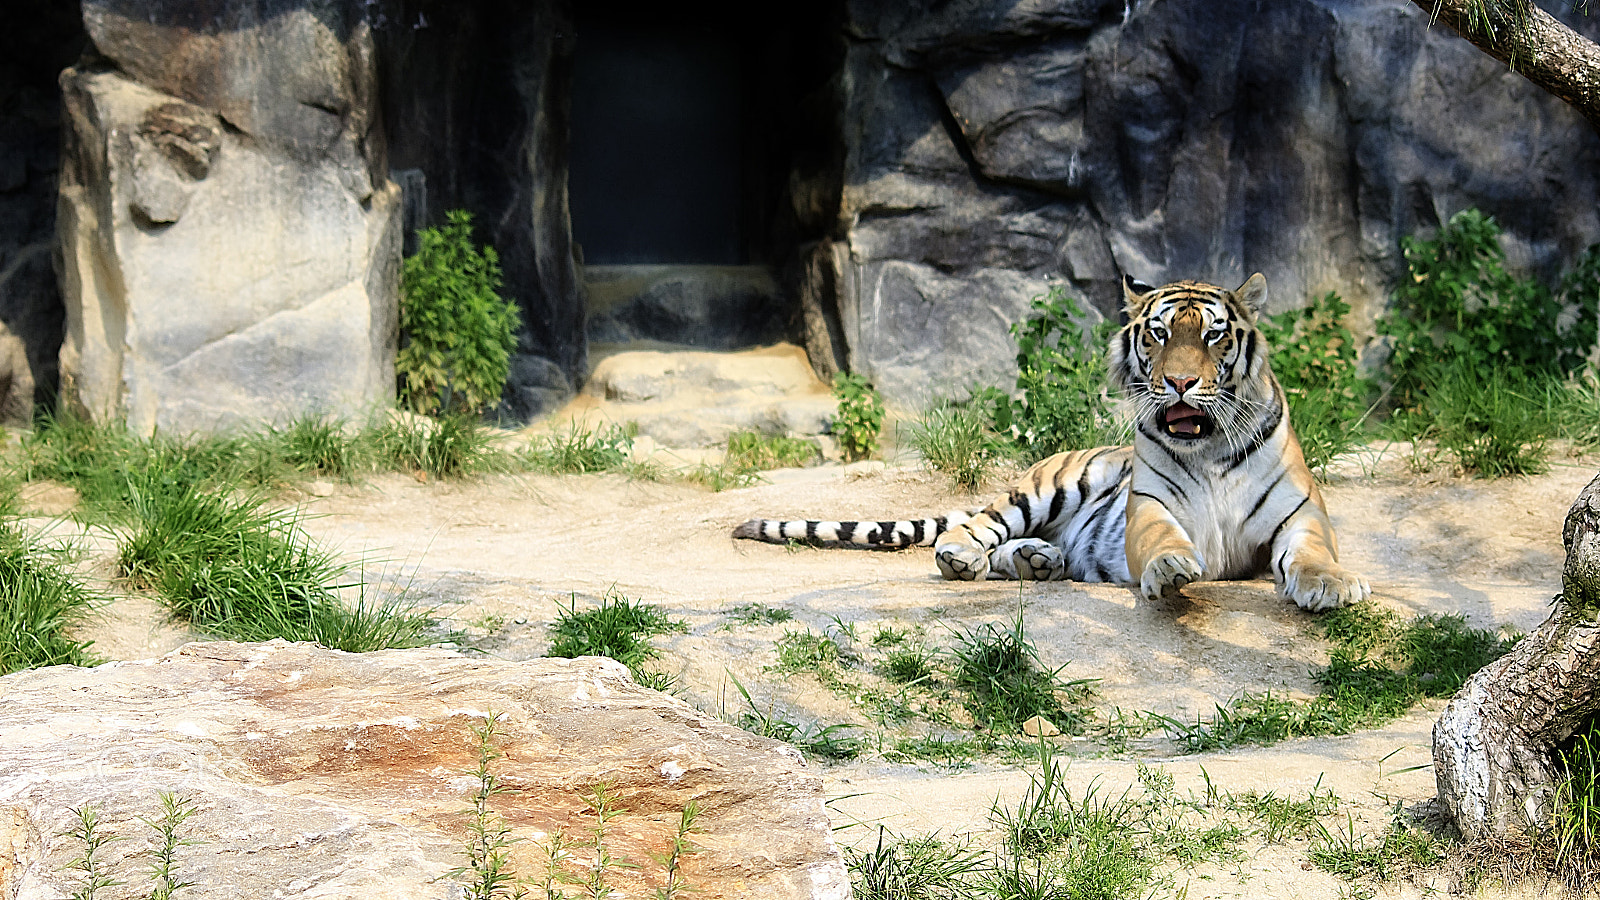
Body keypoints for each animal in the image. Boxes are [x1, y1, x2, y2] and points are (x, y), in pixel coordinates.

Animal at [732, 273, 1370, 612]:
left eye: (1214, 336)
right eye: (1159, 334)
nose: (1181, 381)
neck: (1207, 448)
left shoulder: (1302, 514)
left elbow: (1312, 552)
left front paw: (1332, 585)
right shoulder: (1150, 507)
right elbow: (1162, 539)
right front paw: (1171, 568)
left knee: (1016, 552)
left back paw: (1038, 560)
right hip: (1048, 489)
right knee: (975, 529)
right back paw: (969, 556)